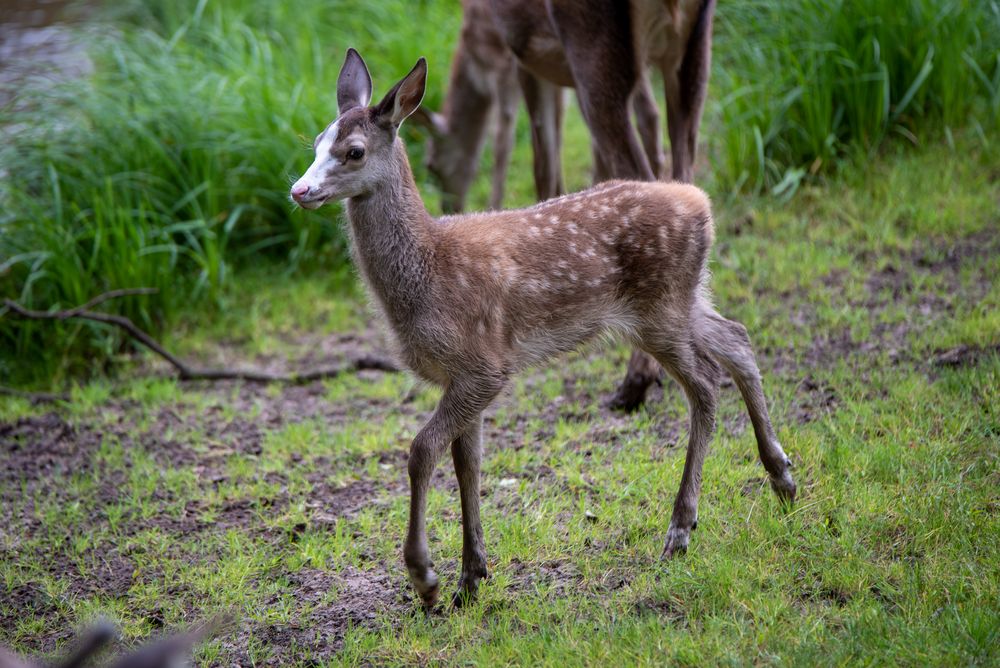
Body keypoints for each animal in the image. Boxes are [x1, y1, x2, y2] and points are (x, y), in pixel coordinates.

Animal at [290, 49, 796, 608]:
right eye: (317, 141)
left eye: (354, 151)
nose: (300, 189)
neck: (430, 272)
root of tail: (701, 203)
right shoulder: (462, 376)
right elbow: (468, 462)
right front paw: (471, 576)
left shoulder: (485, 365)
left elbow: (422, 450)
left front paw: (426, 577)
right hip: (685, 298)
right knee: (738, 339)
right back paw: (782, 479)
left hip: (659, 310)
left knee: (705, 386)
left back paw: (680, 531)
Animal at [418, 0, 716, 412]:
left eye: (431, 166)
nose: (449, 204)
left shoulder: (522, 55)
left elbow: (535, 161)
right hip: (691, 50)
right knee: (682, 170)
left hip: (594, 50)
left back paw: (636, 381)